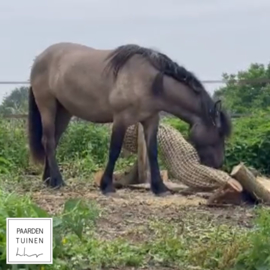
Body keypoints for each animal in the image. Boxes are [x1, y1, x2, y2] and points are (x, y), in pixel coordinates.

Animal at [27, 41, 231, 195]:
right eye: (219, 133)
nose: (218, 163)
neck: (150, 82)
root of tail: (40, 58)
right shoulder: (120, 120)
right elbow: (114, 150)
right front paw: (107, 186)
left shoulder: (151, 121)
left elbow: (152, 152)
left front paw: (159, 188)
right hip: (47, 106)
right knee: (48, 141)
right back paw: (57, 181)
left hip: (64, 111)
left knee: (53, 141)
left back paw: (49, 179)